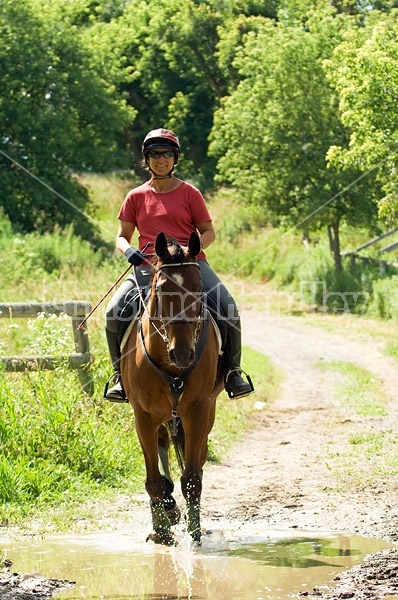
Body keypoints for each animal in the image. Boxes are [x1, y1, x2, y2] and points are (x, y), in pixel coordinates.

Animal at [119, 232, 224, 548]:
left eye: (198, 288)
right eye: (162, 290)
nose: (183, 353)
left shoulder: (198, 411)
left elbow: (192, 479)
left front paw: (194, 533)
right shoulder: (142, 416)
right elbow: (153, 479)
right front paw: (162, 532)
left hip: (204, 413)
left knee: (197, 458)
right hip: (161, 416)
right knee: (163, 446)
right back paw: (168, 508)